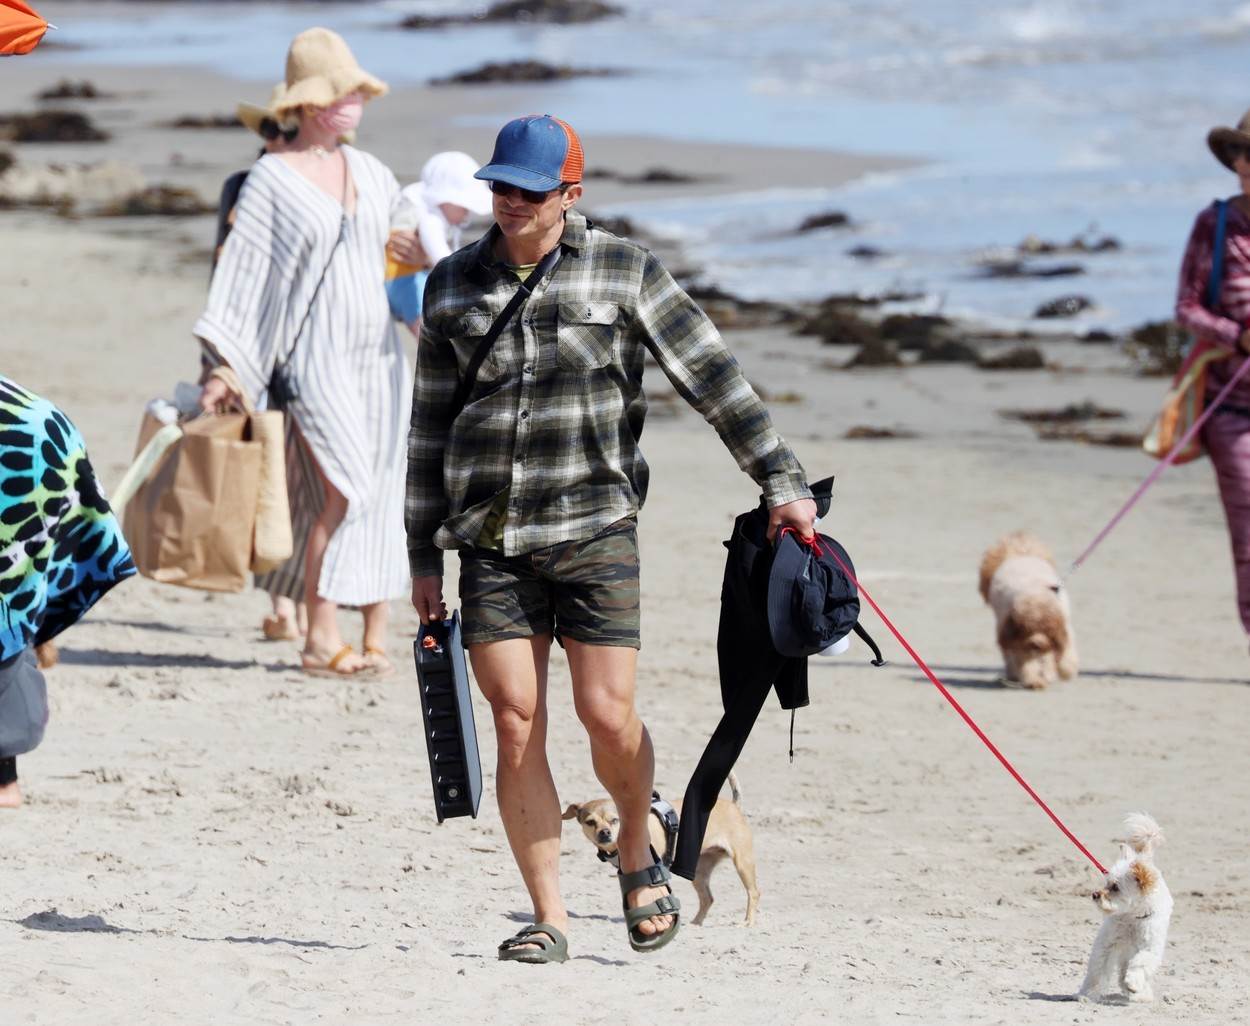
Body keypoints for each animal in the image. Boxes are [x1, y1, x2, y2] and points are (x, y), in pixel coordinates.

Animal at [567, 769, 760, 929]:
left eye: (615, 820)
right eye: (590, 822)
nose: (604, 832)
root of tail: (734, 805)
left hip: (742, 864)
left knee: (753, 893)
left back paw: (748, 922)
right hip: (698, 873)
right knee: (707, 899)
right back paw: (696, 923)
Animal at [975, 532, 1075, 684]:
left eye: (1046, 629)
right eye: (1026, 629)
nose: (1036, 643)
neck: (1034, 591)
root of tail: (1018, 553)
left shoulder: (1062, 629)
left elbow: (1064, 652)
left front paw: (1064, 671)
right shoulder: (1017, 637)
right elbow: (1026, 661)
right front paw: (1034, 681)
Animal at [1080, 814, 1175, 999]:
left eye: (1116, 887)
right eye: (1107, 883)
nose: (1095, 894)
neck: (1132, 916)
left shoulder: (1150, 948)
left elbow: (1140, 963)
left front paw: (1133, 984)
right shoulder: (1107, 944)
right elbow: (1098, 970)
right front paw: (1088, 994)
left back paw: (1139, 992)